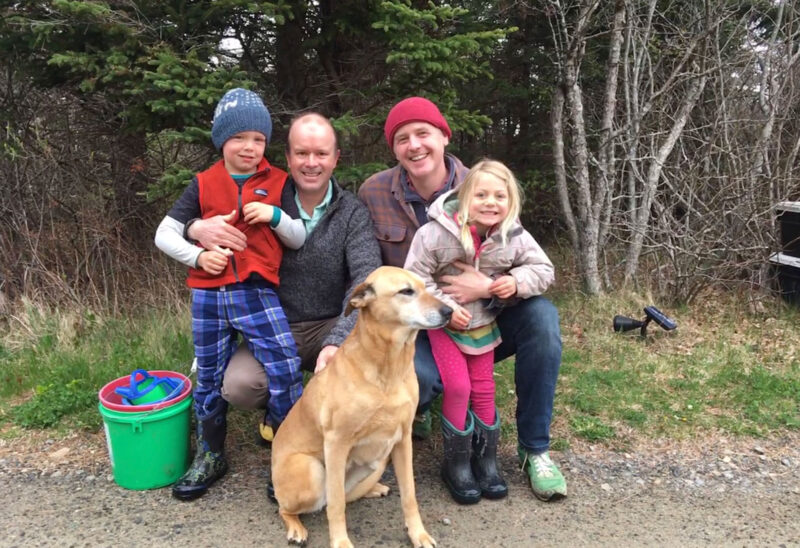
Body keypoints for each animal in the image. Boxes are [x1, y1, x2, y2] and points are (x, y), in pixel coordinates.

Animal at [272, 264, 454, 544]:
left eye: (425, 287)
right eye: (406, 291)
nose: (449, 312)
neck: (389, 368)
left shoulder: (403, 440)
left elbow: (409, 495)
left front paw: (418, 534)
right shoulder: (336, 443)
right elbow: (336, 505)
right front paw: (340, 542)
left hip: (376, 461)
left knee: (345, 495)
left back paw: (373, 489)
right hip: (313, 471)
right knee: (295, 506)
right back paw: (296, 528)